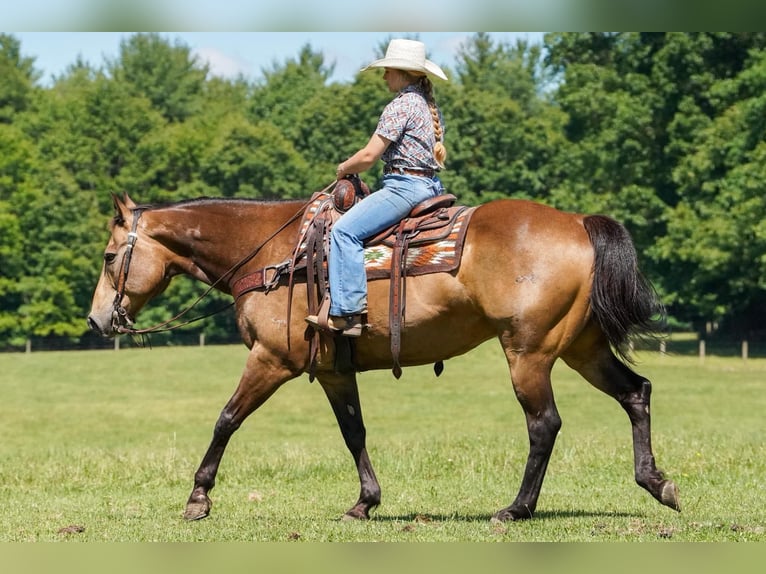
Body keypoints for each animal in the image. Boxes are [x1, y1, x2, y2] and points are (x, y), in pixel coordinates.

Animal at [87, 191, 680, 522]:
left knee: (544, 424)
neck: (275, 256)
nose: (96, 321)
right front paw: (365, 501)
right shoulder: (331, 371)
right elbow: (355, 433)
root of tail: (579, 222)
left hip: (528, 353)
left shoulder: (271, 361)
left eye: (111, 256)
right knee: (637, 392)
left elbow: (226, 419)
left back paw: (516, 508)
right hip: (582, 347)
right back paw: (658, 484)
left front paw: (198, 497)